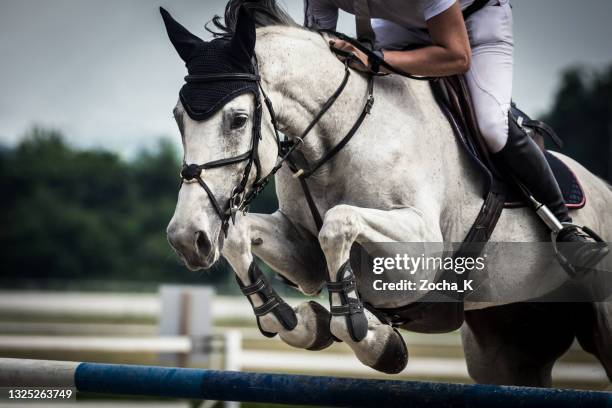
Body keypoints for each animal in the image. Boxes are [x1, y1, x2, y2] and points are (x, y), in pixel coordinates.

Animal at [163, 3, 612, 386]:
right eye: (178, 117)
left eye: (238, 119)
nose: (186, 239)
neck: (339, 139)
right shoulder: (303, 252)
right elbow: (239, 237)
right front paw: (299, 322)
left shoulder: (421, 255)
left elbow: (338, 223)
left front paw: (373, 339)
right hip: (508, 343)